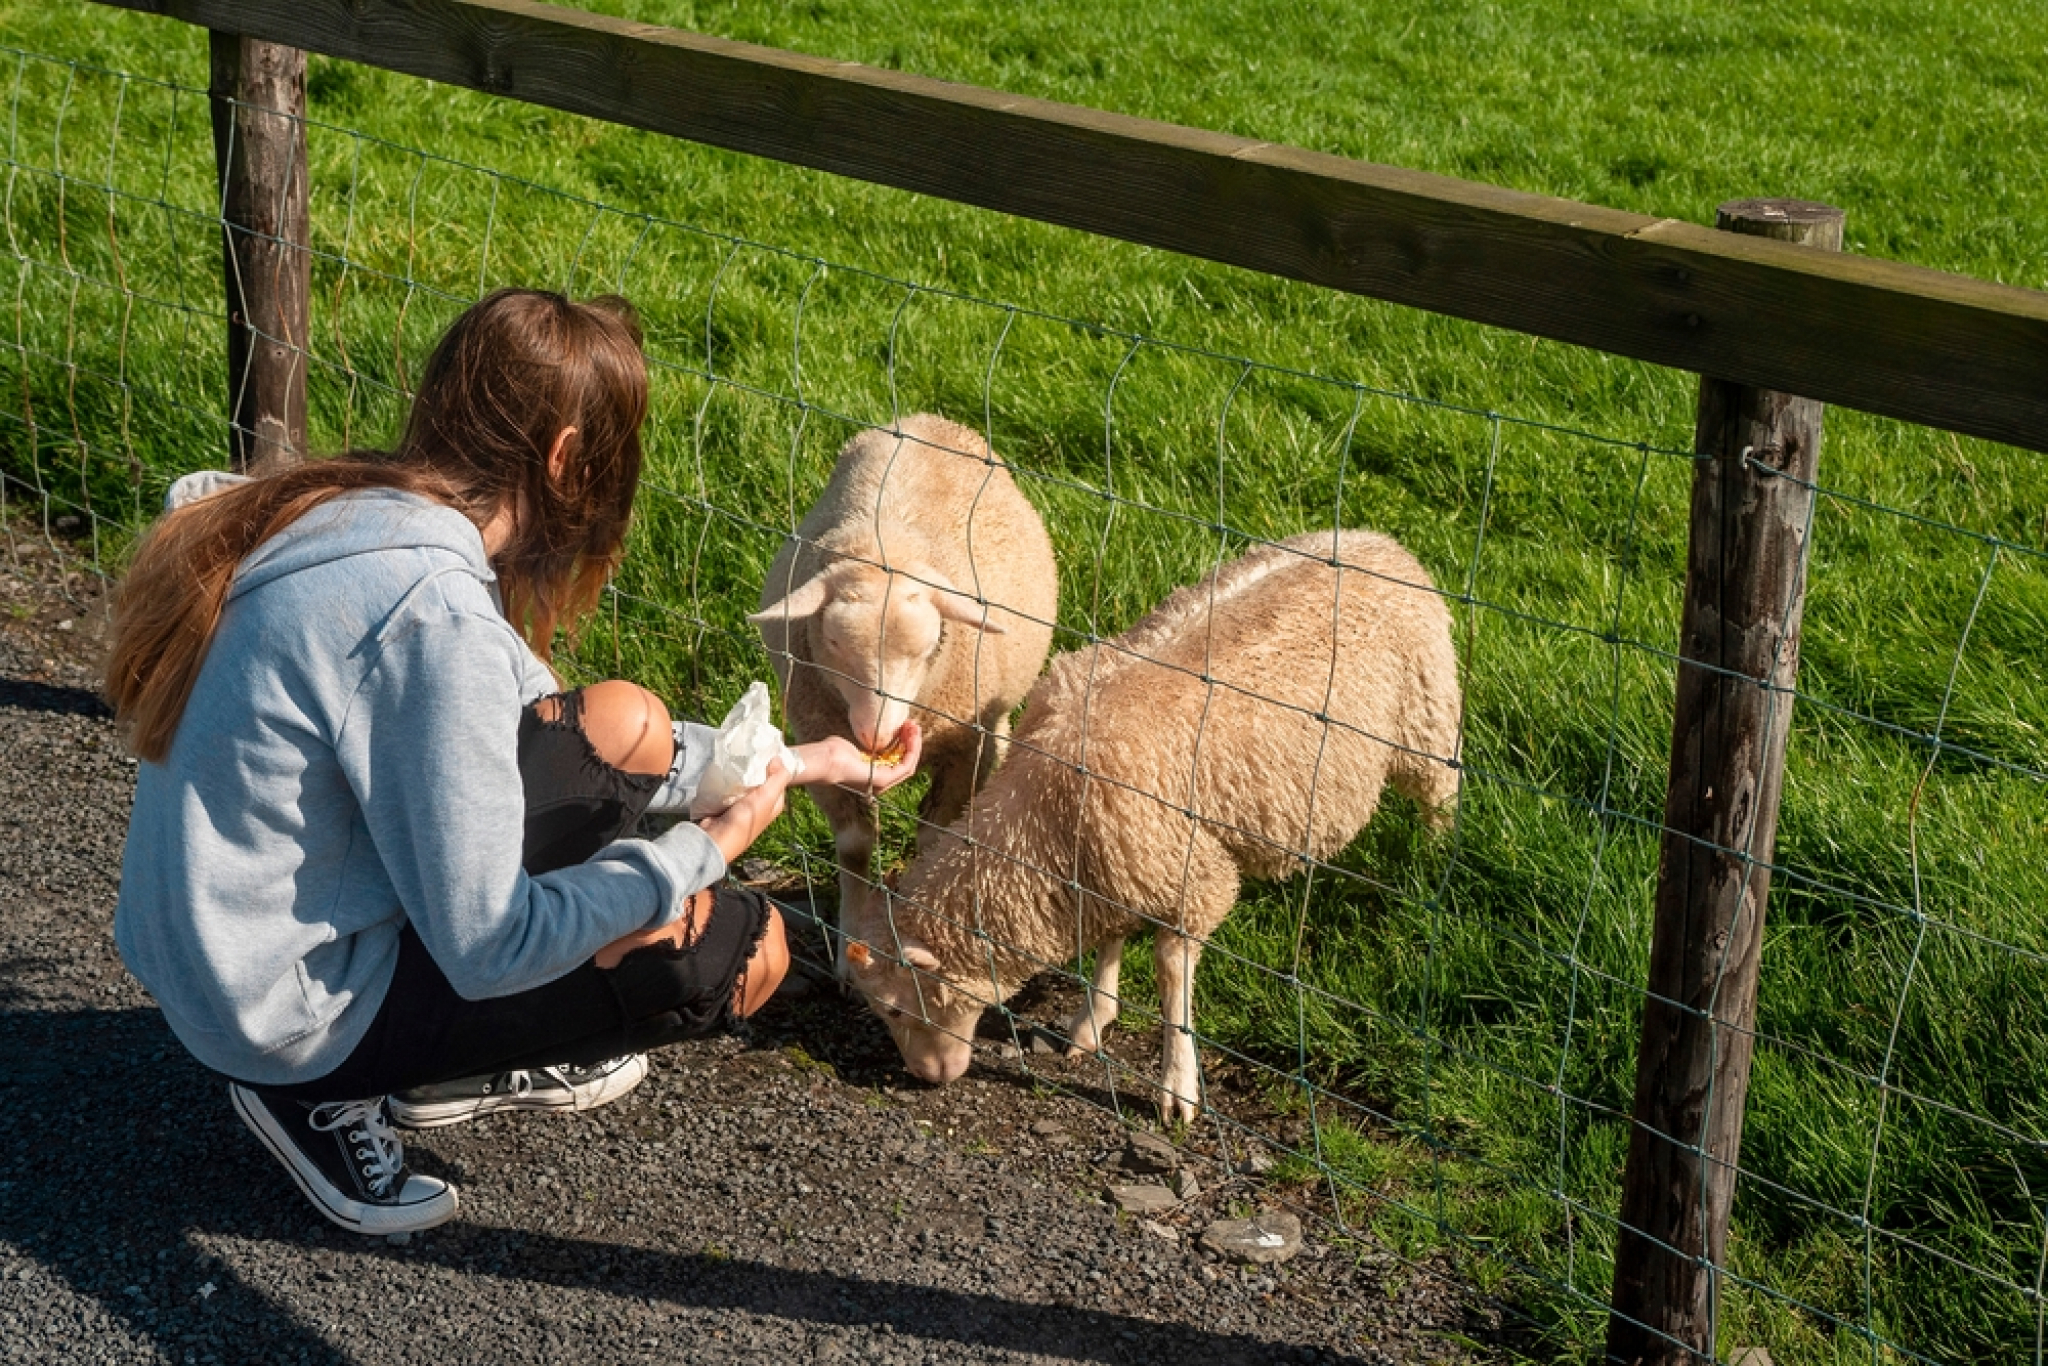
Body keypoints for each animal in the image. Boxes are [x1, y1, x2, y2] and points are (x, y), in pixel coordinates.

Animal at [749, 417, 1056, 970]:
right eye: (832, 643)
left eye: (928, 646)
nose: (877, 735)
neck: (883, 551)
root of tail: (927, 420)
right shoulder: (818, 735)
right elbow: (854, 847)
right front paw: (849, 946)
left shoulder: (971, 747)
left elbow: (936, 837)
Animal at [843, 532, 1458, 1122]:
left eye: (896, 1006)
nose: (925, 1078)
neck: (1039, 822)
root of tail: (1378, 541)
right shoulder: (1111, 866)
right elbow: (1110, 939)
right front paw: (1092, 1020)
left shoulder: (1190, 877)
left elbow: (1170, 979)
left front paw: (1177, 1085)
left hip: (1427, 717)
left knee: (1441, 796)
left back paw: (1433, 863)